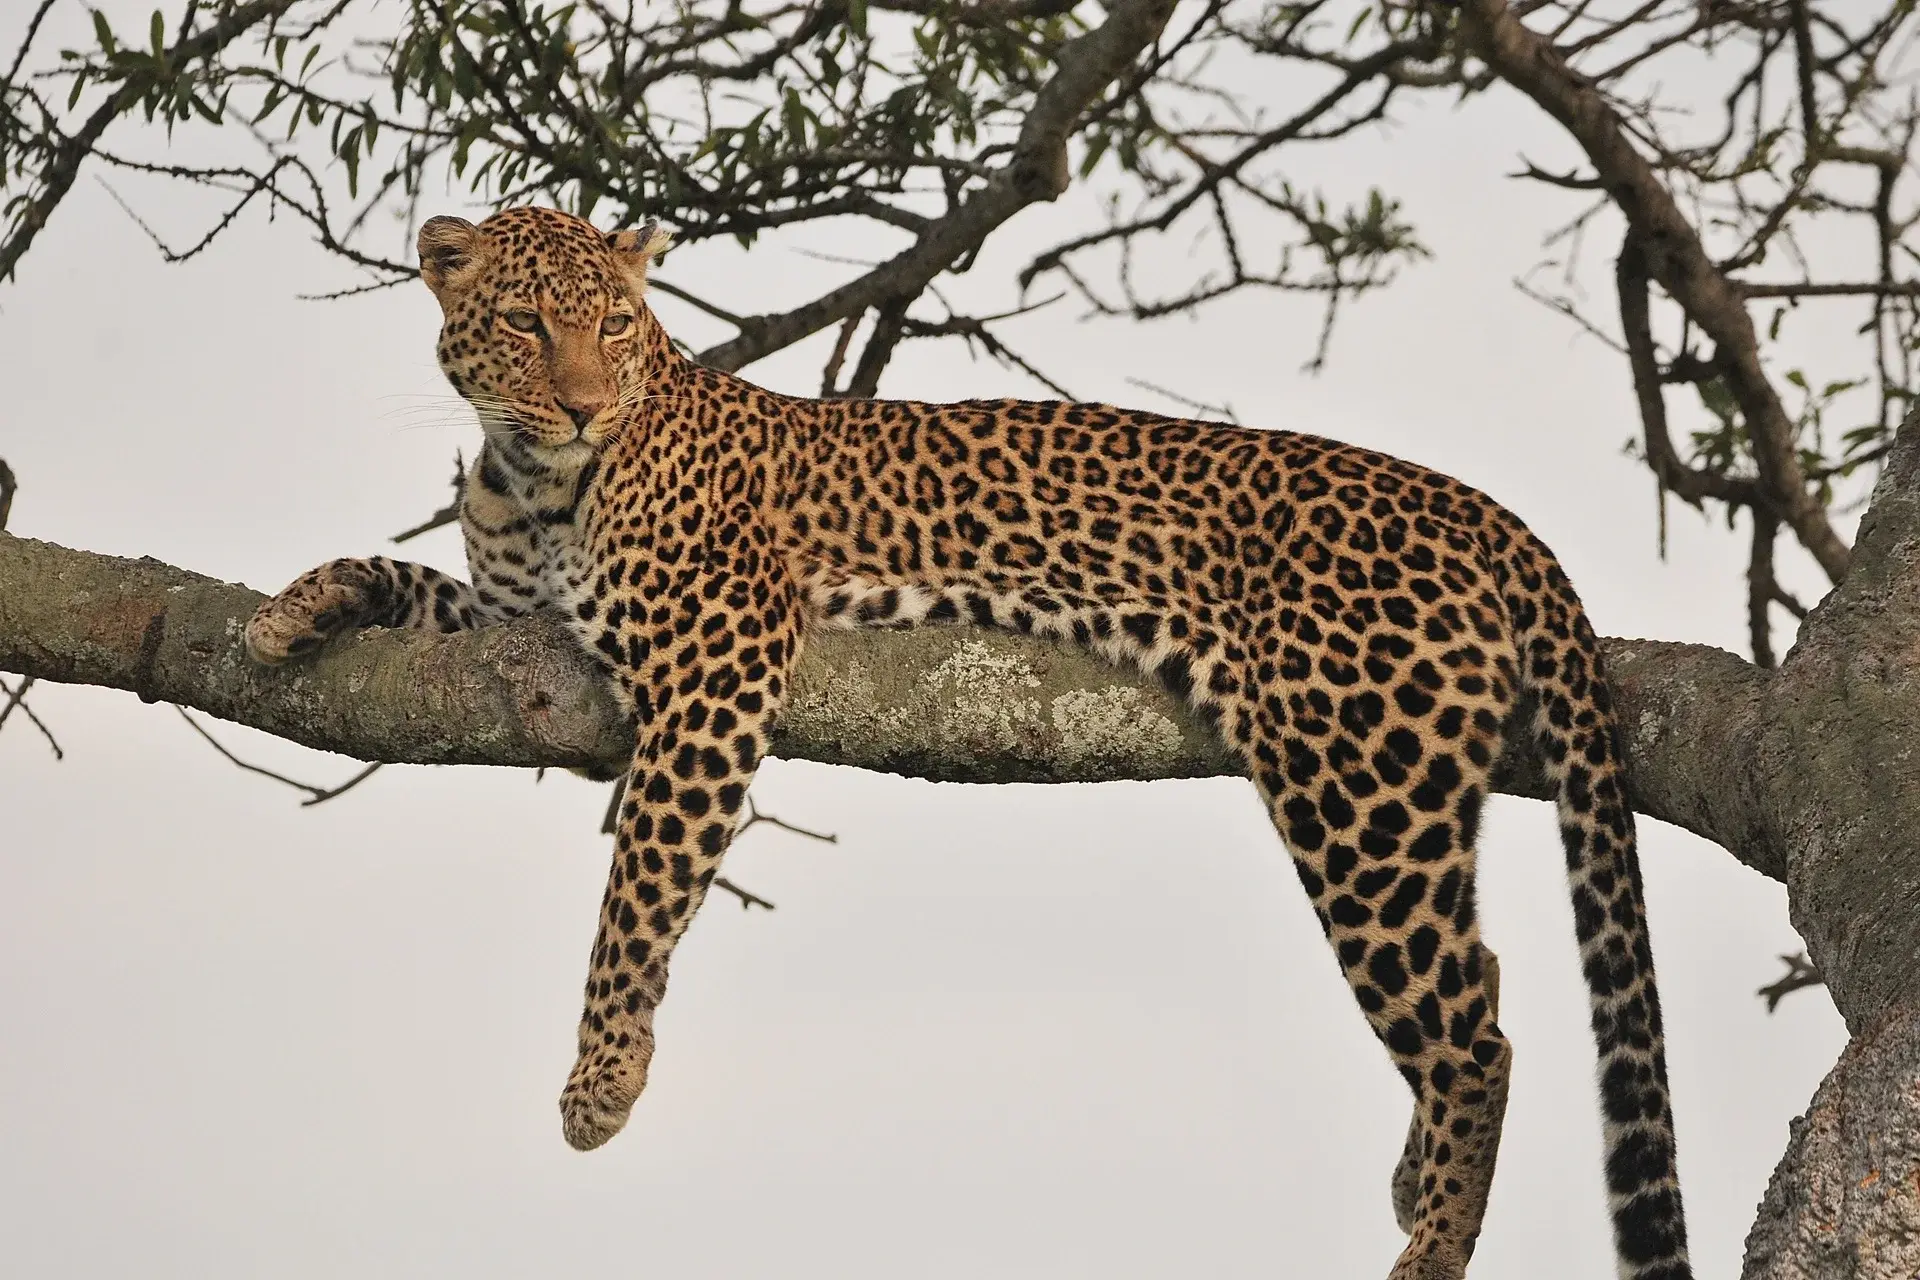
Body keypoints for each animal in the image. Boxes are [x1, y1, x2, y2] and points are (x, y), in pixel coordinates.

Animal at [246, 205, 1691, 1280]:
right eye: (527, 324)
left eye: (613, 323)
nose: (591, 409)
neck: (533, 482)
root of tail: (1476, 505)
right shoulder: (517, 635)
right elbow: (400, 574)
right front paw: (286, 610)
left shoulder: (714, 662)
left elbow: (640, 884)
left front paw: (603, 1081)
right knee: (1481, 979)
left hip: (1359, 788)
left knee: (1478, 1033)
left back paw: (1432, 1245)